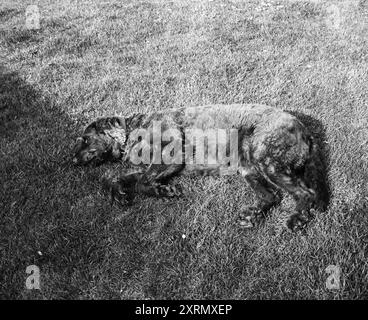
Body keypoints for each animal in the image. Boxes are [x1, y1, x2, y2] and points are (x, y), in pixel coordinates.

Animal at [72, 104, 328, 231]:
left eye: (85, 139)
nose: (72, 160)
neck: (134, 130)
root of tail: (306, 131)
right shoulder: (149, 166)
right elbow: (121, 178)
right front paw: (120, 195)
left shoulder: (172, 155)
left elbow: (144, 182)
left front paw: (166, 191)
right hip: (249, 167)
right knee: (271, 195)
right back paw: (251, 217)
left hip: (266, 159)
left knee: (306, 193)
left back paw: (296, 220)